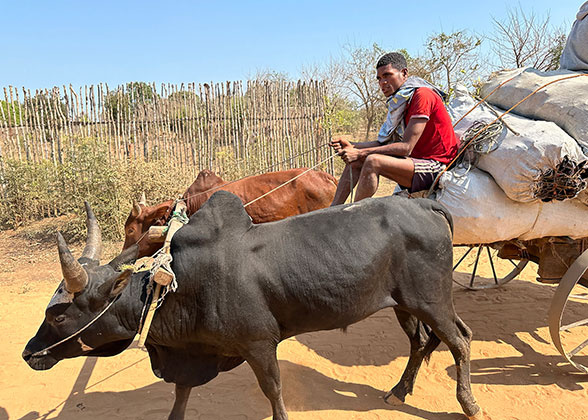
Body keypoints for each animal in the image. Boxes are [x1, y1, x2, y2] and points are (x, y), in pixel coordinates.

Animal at [21, 194, 482, 420]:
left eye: (57, 315)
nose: (28, 354)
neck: (172, 287)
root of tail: (425, 204)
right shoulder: (194, 355)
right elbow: (180, 396)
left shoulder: (259, 345)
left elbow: (274, 393)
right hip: (405, 304)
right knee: (421, 342)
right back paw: (399, 391)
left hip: (432, 300)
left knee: (460, 339)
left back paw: (469, 405)